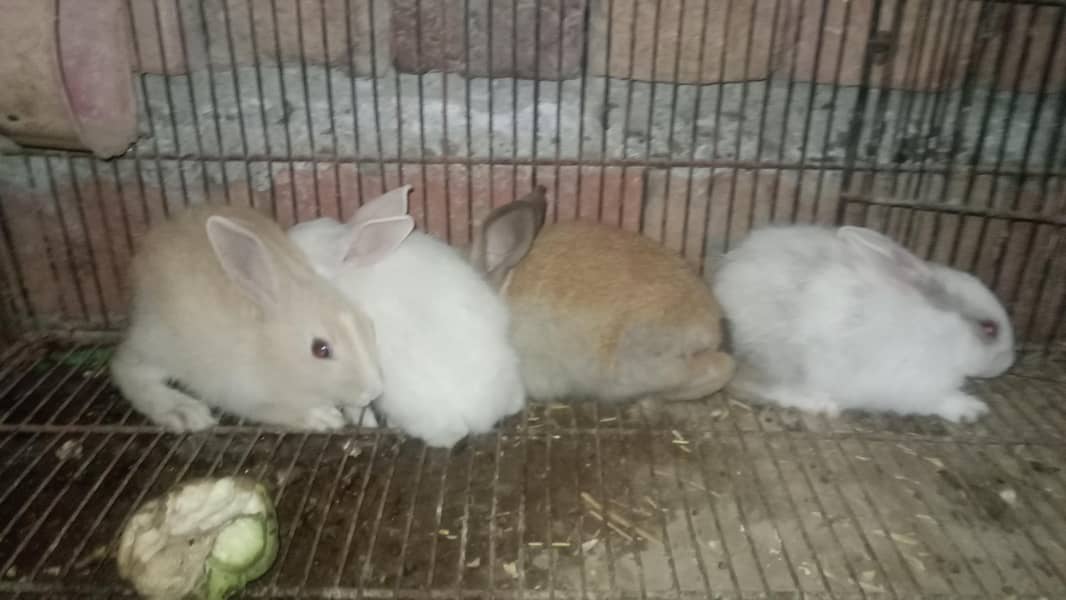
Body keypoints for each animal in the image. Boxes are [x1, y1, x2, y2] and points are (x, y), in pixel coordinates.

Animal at [110, 203, 411, 432]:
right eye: (320, 349)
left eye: (368, 325)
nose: (374, 390)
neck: (270, 350)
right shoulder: (242, 393)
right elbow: (278, 410)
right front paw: (323, 417)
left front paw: (365, 419)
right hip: (160, 344)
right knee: (126, 368)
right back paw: (183, 411)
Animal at [711, 224, 1016, 423]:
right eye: (989, 328)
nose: (1009, 361)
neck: (940, 331)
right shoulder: (910, 382)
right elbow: (939, 398)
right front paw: (971, 409)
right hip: (782, 362)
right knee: (757, 386)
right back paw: (821, 403)